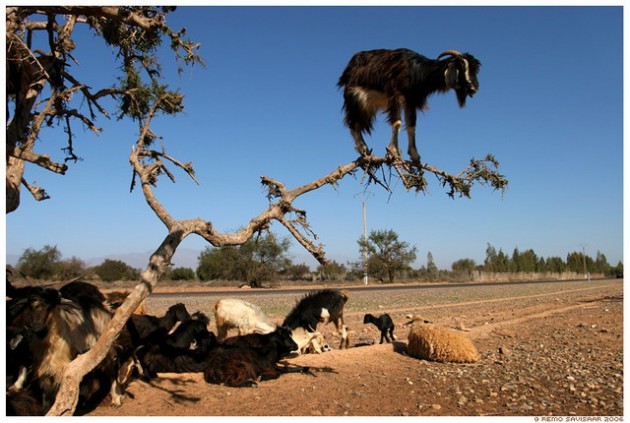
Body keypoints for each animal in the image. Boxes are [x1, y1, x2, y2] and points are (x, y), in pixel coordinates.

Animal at [340, 47, 484, 164]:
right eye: (461, 67)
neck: (416, 71)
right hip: (356, 98)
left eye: (476, 70)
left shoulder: (411, 101)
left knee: (356, 123)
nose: (473, 88)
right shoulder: (395, 95)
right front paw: (394, 151)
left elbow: (411, 126)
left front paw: (415, 155)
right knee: (353, 123)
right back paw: (363, 149)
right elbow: (397, 123)